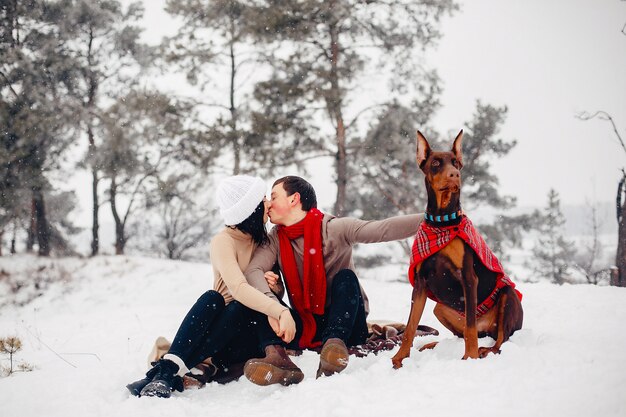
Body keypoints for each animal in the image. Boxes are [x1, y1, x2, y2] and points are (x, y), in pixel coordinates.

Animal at [390, 130, 520, 368]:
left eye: (456, 163)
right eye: (435, 163)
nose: (454, 175)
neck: (442, 223)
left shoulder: (468, 277)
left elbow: (469, 327)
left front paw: (470, 358)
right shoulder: (420, 283)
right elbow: (411, 326)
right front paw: (400, 358)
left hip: (508, 295)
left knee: (498, 340)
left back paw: (483, 350)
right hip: (440, 308)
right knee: (464, 334)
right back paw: (432, 345)